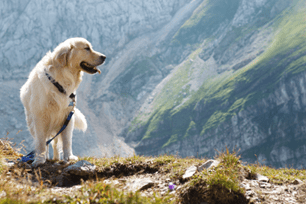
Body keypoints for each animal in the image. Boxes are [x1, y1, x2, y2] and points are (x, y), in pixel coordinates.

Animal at [20, 37, 106, 167]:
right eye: (86, 48)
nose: (104, 57)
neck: (60, 82)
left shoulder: (68, 116)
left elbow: (67, 141)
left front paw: (69, 157)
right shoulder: (40, 118)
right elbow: (40, 142)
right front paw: (39, 160)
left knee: (55, 143)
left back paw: (56, 158)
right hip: (32, 123)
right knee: (45, 141)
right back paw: (46, 156)